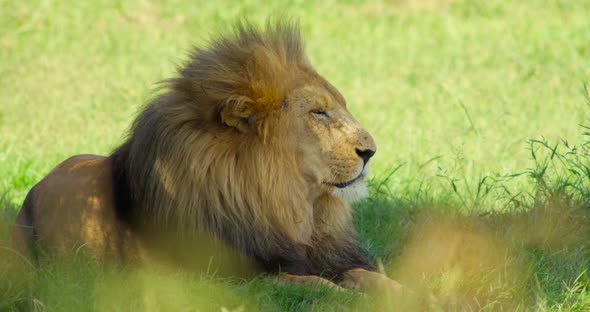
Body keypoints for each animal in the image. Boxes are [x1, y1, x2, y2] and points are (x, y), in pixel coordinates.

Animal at [15, 20, 408, 294]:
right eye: (318, 113)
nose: (371, 151)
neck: (290, 204)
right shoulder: (234, 278)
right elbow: (317, 286)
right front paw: (351, 299)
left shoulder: (324, 255)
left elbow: (369, 275)